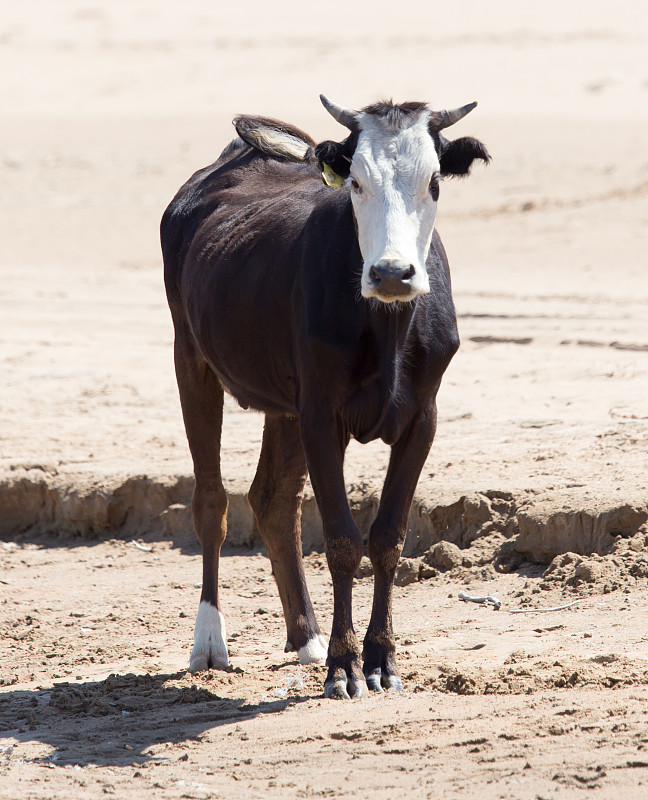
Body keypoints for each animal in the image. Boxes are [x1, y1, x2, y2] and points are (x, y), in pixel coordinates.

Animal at [163, 94, 492, 696]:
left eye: (434, 181)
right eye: (356, 183)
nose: (392, 272)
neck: (387, 329)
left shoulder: (422, 417)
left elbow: (388, 537)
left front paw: (381, 660)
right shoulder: (322, 415)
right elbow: (341, 539)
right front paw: (345, 666)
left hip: (284, 404)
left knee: (272, 500)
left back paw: (306, 637)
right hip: (190, 355)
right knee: (212, 502)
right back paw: (209, 643)